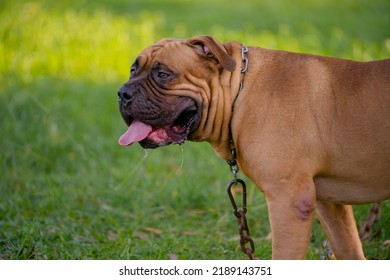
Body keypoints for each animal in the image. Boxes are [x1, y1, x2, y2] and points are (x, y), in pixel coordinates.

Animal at [116, 36, 390, 260]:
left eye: (163, 74)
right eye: (133, 70)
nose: (122, 93)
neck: (240, 91)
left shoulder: (289, 201)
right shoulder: (331, 205)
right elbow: (349, 250)